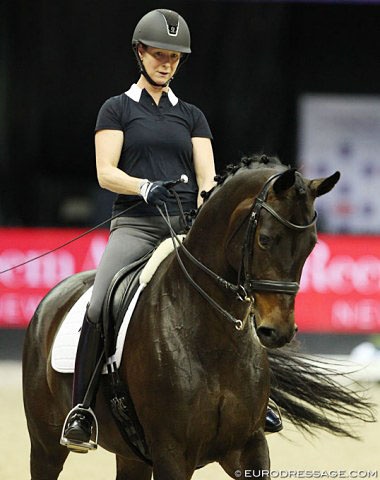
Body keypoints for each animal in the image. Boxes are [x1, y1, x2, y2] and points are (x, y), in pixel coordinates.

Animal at [21, 156, 374, 478]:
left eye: (311, 245)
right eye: (265, 239)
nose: (279, 331)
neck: (212, 335)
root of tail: (56, 295)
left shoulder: (249, 447)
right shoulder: (172, 453)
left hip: (131, 454)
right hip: (46, 445)